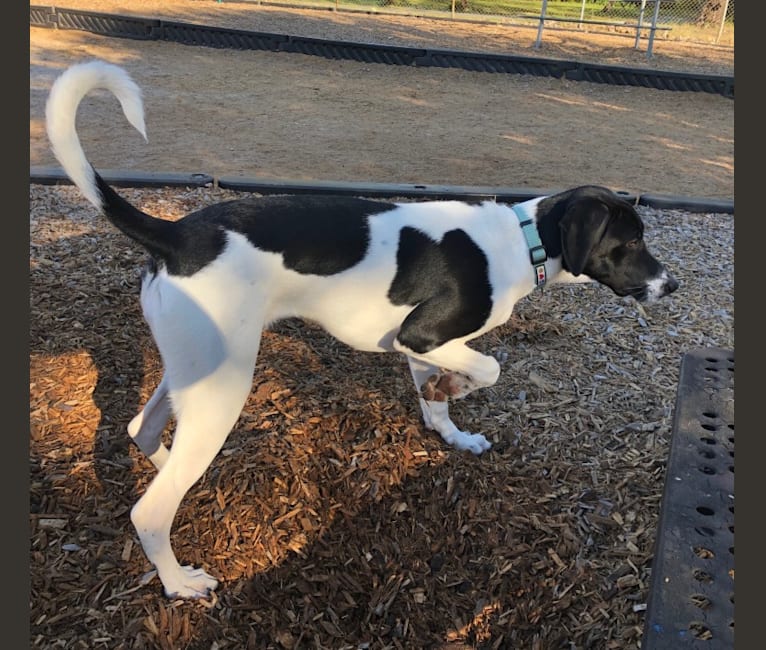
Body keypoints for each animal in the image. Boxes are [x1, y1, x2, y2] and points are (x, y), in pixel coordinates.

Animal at [45, 60, 680, 596]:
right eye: (630, 243)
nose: (671, 285)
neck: (522, 241)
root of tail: (174, 234)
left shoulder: (426, 345)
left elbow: (437, 401)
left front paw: (452, 427)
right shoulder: (423, 335)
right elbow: (490, 366)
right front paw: (455, 389)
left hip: (193, 370)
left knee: (143, 430)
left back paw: (167, 468)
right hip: (224, 385)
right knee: (149, 509)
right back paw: (178, 581)